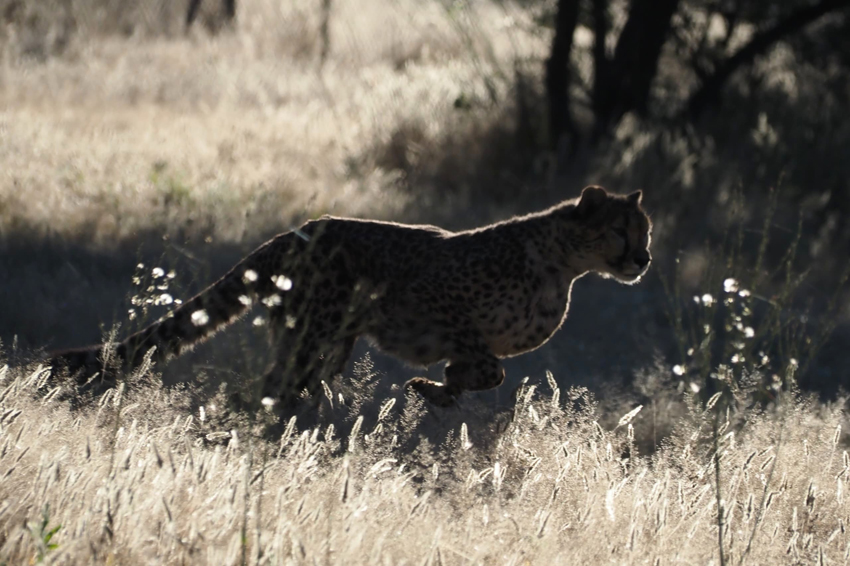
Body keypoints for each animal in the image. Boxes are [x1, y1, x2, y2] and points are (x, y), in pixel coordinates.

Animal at [49, 185, 652, 408]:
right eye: (620, 231)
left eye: (646, 232)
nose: (643, 260)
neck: (566, 265)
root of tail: (297, 230)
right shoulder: (437, 303)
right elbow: (487, 364)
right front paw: (440, 380)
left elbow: (483, 372)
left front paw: (439, 391)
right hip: (314, 333)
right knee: (272, 387)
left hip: (329, 342)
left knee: (290, 385)